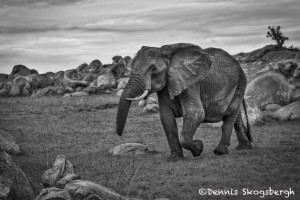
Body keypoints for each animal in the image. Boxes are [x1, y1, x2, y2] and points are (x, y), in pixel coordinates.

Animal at [116, 43, 252, 161]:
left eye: (153, 69)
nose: (119, 135)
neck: (167, 55)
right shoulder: (167, 84)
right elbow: (166, 117)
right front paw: (175, 159)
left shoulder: (192, 83)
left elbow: (196, 113)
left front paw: (198, 148)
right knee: (236, 115)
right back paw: (244, 148)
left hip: (240, 82)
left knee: (230, 114)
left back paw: (220, 152)